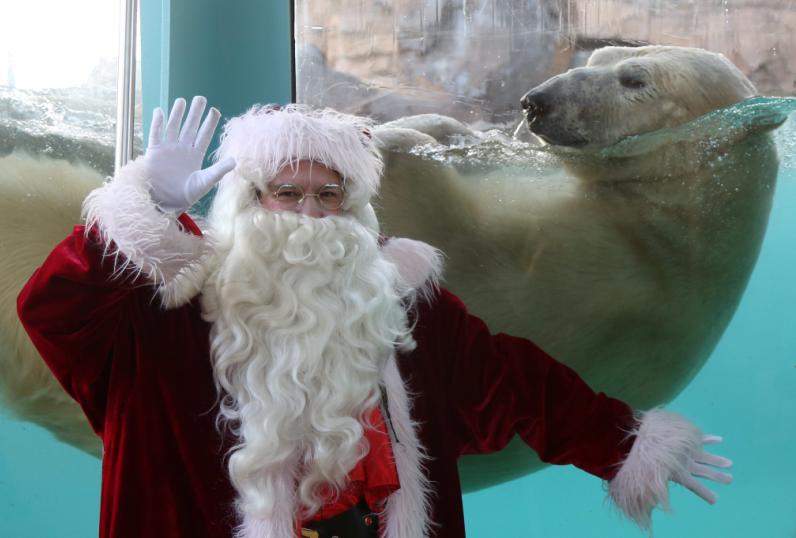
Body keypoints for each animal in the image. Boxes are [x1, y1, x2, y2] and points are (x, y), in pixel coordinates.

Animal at [373, 45, 785, 491]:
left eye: (634, 80)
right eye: (598, 56)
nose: (535, 102)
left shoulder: (581, 271)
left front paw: (387, 142)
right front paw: (446, 127)